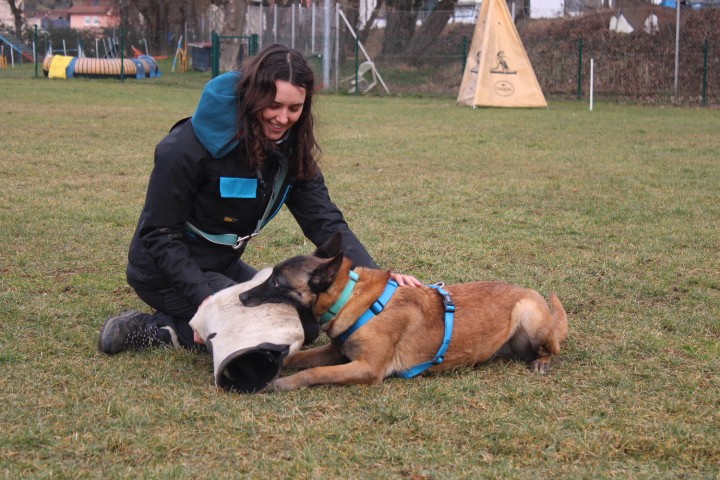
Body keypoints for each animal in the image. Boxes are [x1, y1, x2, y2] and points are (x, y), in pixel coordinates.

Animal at [240, 234, 568, 392]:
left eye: (277, 282)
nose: (242, 296)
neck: (351, 297)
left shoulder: (367, 368)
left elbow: (314, 372)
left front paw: (282, 383)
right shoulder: (337, 352)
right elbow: (300, 358)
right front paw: (271, 363)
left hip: (529, 315)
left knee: (553, 348)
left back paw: (542, 361)